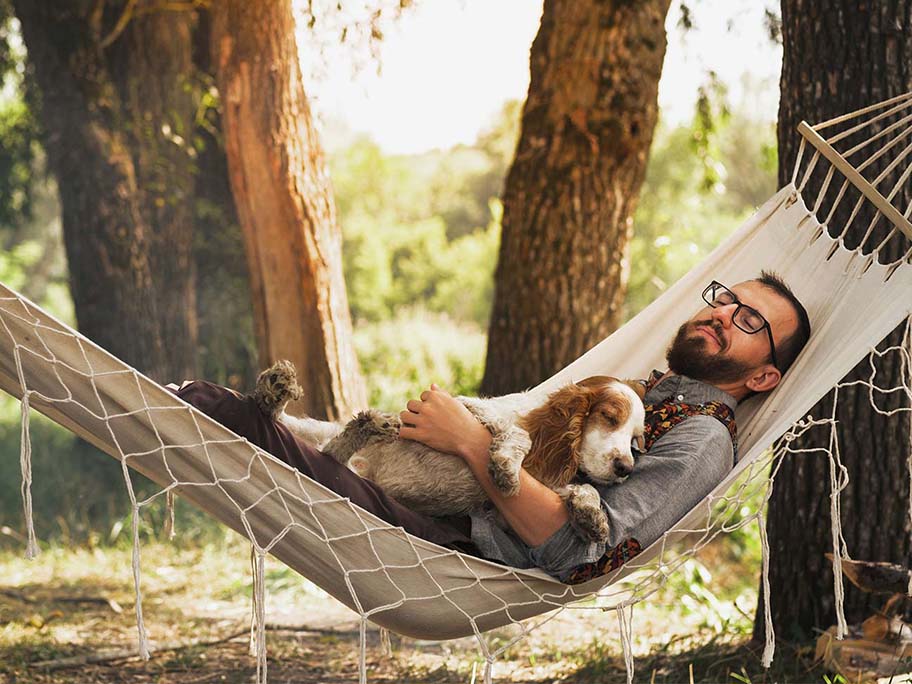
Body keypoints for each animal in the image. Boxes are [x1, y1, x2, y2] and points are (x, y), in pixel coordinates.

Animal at [253, 358, 644, 544]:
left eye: (636, 440)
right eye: (610, 418)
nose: (626, 468)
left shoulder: (507, 516)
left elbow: (585, 488)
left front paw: (591, 517)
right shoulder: (471, 407)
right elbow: (516, 434)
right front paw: (505, 466)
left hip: (334, 455)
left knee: (331, 450)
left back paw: (369, 423)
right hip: (321, 437)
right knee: (285, 421)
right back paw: (278, 388)